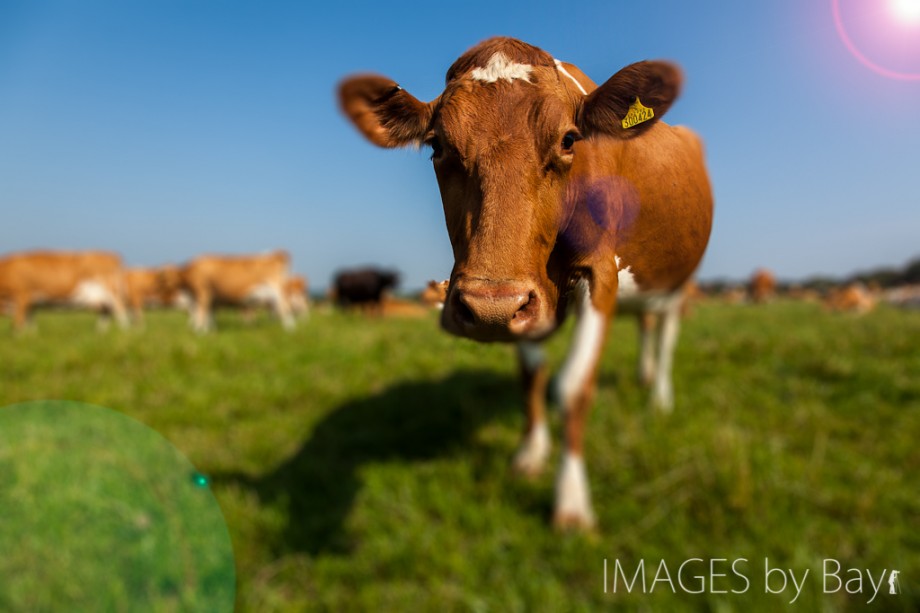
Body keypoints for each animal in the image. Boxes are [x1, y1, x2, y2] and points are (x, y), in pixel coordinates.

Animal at [0, 249, 129, 330]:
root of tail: (112, 256)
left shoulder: (22, 295)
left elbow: (18, 322)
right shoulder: (30, 303)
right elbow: (30, 322)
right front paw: (31, 338)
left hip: (112, 291)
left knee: (120, 312)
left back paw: (124, 334)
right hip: (101, 299)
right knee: (106, 313)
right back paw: (100, 335)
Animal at [342, 35, 716, 528]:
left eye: (569, 139)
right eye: (437, 145)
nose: (487, 306)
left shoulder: (600, 276)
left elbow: (572, 387)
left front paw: (571, 503)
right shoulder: (524, 303)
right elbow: (530, 376)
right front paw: (531, 454)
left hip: (680, 281)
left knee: (667, 333)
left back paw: (659, 397)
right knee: (646, 325)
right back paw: (644, 375)